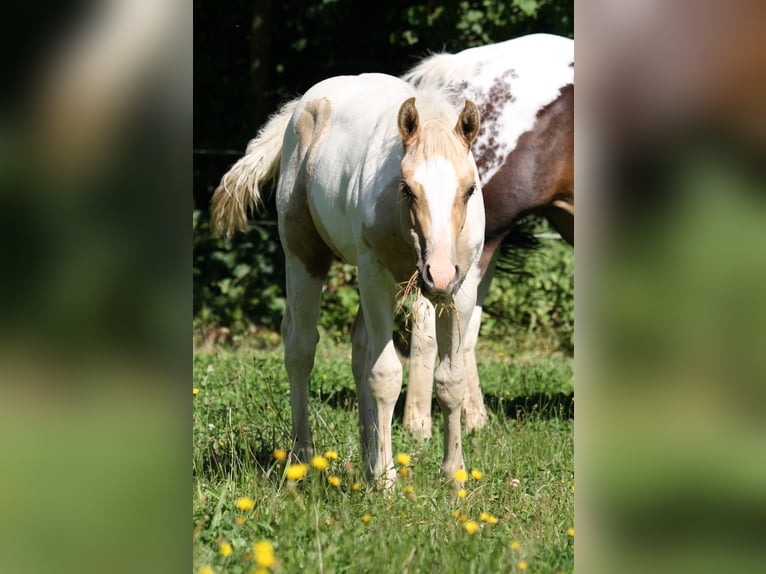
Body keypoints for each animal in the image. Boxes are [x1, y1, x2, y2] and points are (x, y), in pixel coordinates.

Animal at [210, 72, 486, 486]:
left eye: (469, 189)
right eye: (407, 188)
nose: (437, 274)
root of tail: (300, 106)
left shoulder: (461, 287)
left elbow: (450, 381)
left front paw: (454, 478)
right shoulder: (376, 274)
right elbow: (386, 374)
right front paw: (387, 481)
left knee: (359, 349)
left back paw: (367, 461)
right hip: (304, 256)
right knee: (300, 346)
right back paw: (304, 457)